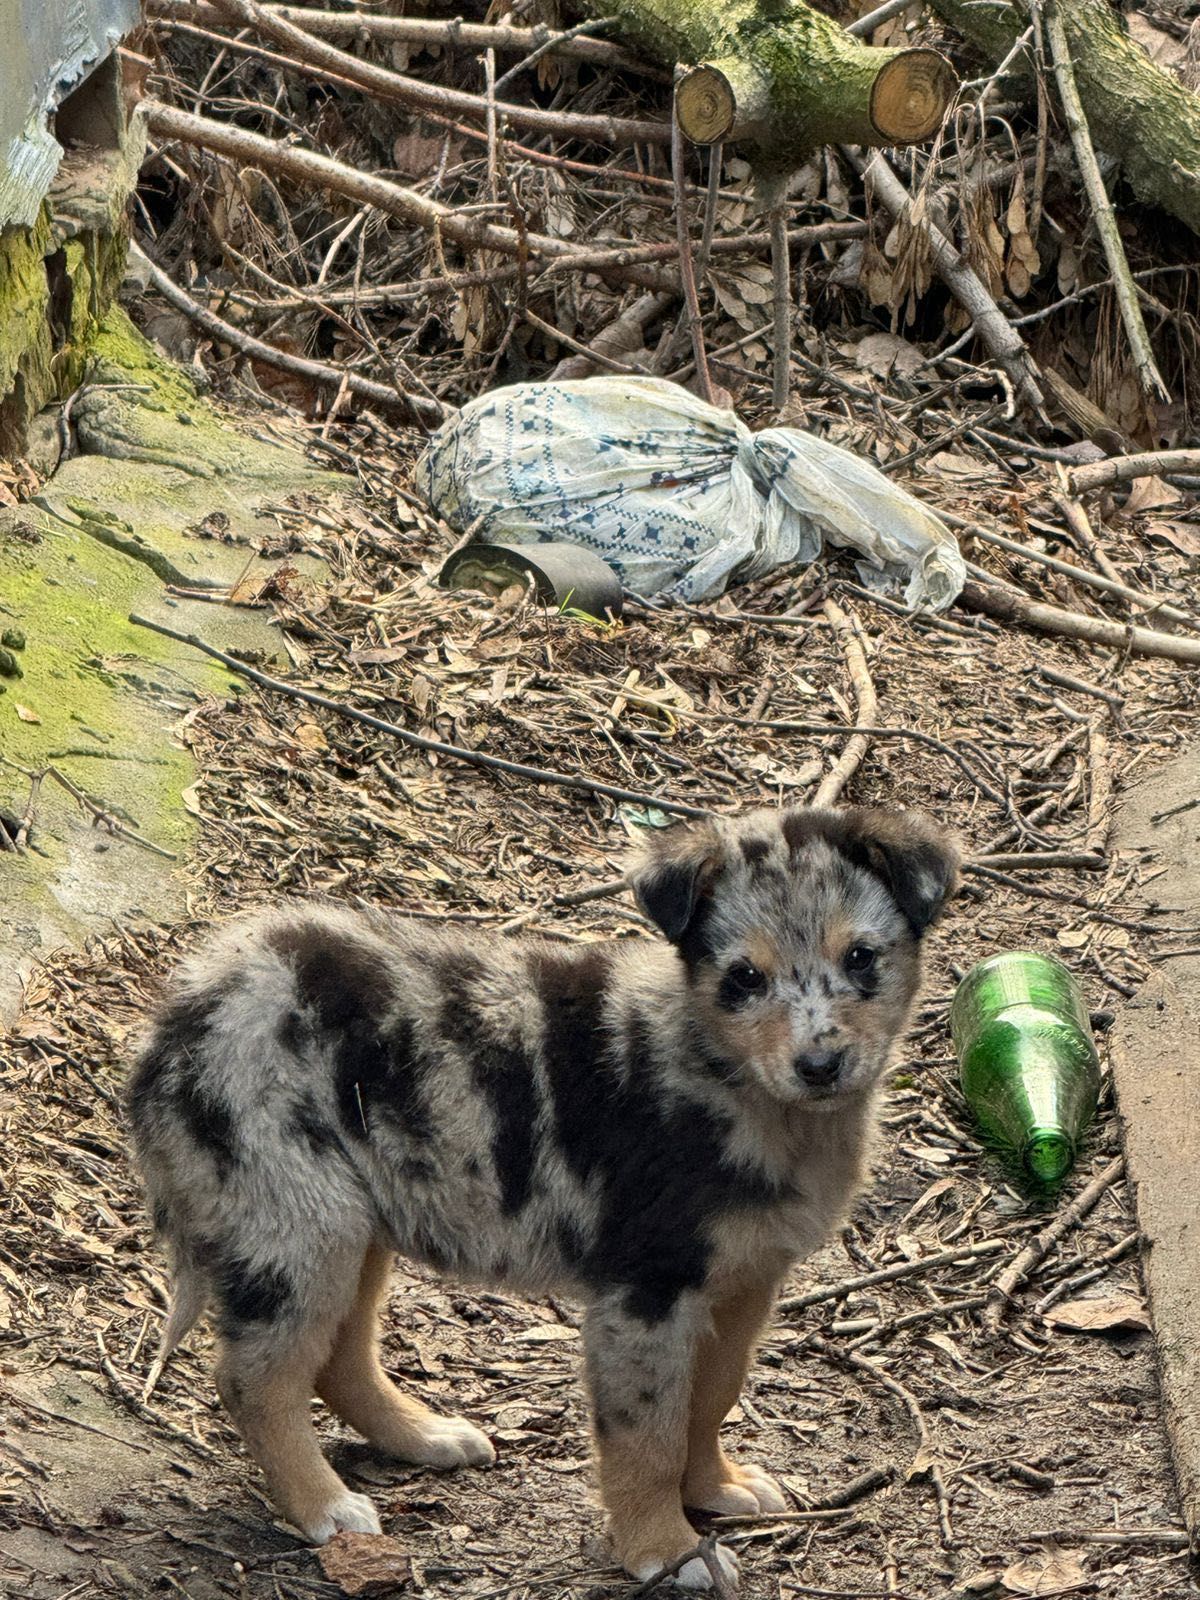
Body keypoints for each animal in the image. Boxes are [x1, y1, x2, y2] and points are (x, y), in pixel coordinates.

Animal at [129, 806, 960, 1580]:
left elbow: (711, 1399)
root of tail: (179, 1018)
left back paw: (425, 1438)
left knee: (336, 1356)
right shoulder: (645, 1290)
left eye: (861, 958)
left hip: (354, 1222)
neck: (728, 1078)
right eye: (744, 979)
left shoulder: (743, 1282)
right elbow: (649, 1435)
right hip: (297, 1223)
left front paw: (717, 1490)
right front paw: (666, 1551)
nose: (820, 1065)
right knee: (254, 1378)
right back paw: (325, 1508)